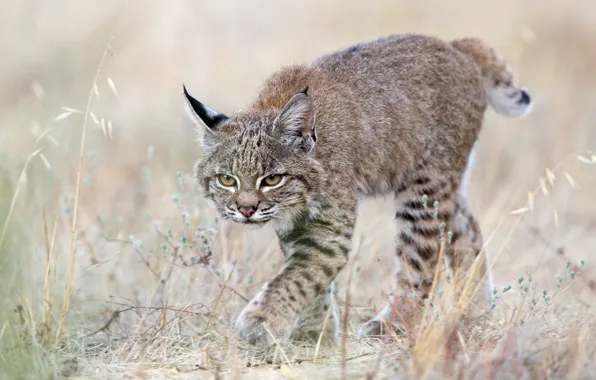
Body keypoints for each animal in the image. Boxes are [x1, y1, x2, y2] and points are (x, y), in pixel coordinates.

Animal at [184, 34, 532, 346]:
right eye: (227, 179)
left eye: (271, 180)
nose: (246, 210)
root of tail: (455, 45)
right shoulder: (295, 225)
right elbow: (309, 278)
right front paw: (315, 335)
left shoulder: (330, 228)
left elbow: (300, 274)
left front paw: (261, 321)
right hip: (445, 184)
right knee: (469, 236)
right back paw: (474, 314)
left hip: (424, 190)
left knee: (420, 263)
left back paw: (393, 325)